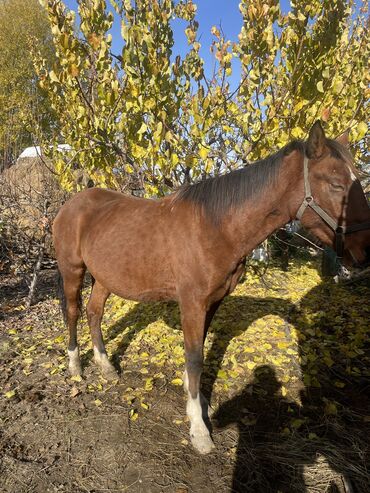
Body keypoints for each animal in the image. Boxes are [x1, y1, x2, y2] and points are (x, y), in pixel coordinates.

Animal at [52, 121, 370, 452]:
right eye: (336, 184)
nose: (365, 249)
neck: (217, 228)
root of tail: (71, 205)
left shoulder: (213, 301)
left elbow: (200, 352)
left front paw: (199, 400)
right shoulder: (192, 303)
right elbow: (195, 358)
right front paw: (198, 429)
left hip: (104, 277)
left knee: (94, 313)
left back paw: (106, 365)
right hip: (72, 271)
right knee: (74, 312)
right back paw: (75, 365)